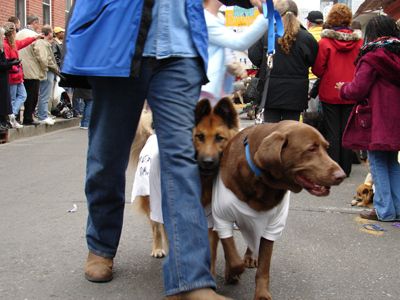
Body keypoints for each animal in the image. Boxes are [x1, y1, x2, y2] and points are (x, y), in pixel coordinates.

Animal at [130, 96, 239, 276]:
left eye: (219, 138)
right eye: (199, 136)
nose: (207, 162)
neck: (201, 179)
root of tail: (151, 138)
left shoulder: (210, 219)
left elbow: (210, 250)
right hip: (152, 202)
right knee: (155, 226)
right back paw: (157, 248)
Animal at [212, 120, 346, 300]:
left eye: (326, 147)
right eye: (311, 149)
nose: (341, 176)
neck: (262, 183)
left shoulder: (272, 227)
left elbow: (264, 267)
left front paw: (262, 294)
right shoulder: (221, 217)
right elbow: (231, 254)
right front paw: (233, 272)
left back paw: (250, 257)